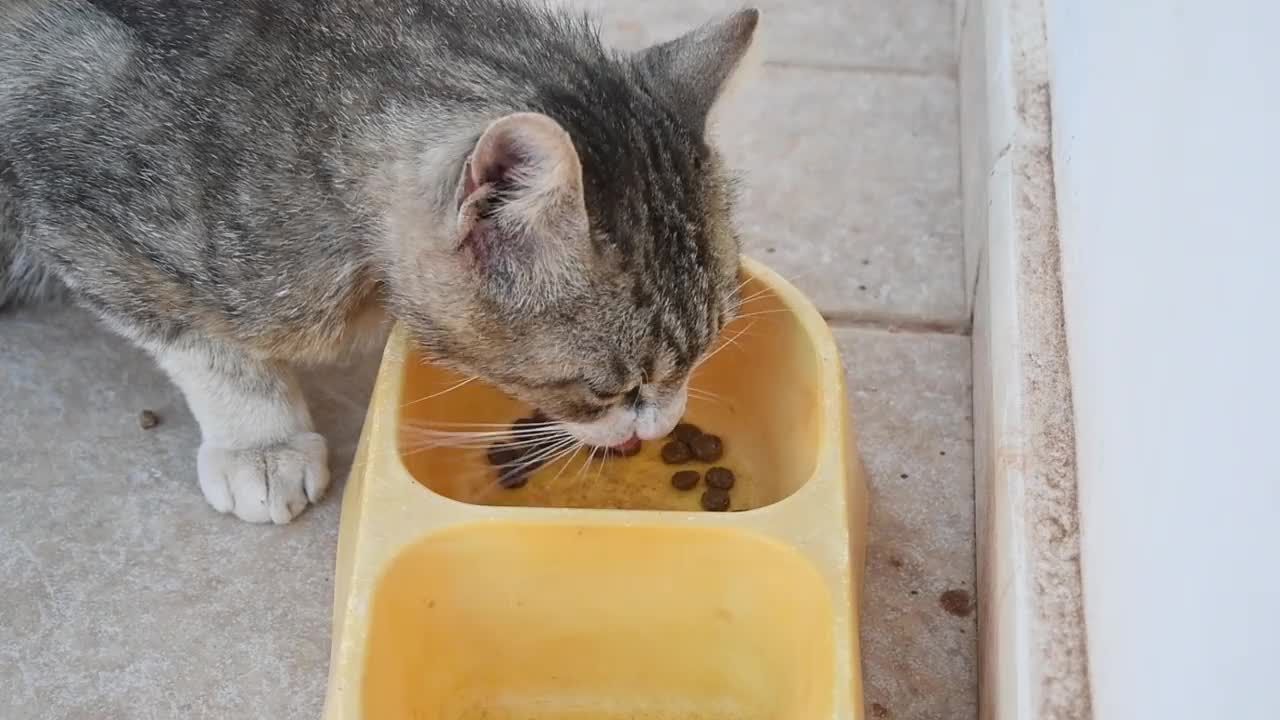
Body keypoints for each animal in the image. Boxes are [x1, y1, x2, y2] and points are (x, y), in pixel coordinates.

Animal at [0, 2, 752, 525]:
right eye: (607, 389)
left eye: (704, 351)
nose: (660, 426)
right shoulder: (75, 196)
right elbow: (200, 341)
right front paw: (260, 442)